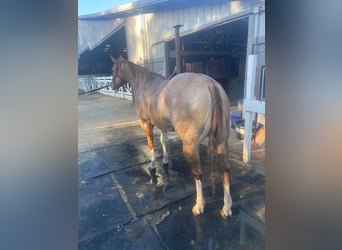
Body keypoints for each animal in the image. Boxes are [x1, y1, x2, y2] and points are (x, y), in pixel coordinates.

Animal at [109, 55, 232, 219]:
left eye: (113, 69)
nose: (113, 86)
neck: (145, 83)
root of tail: (209, 84)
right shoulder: (162, 124)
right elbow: (163, 141)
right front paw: (165, 160)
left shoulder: (146, 123)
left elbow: (150, 144)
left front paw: (152, 164)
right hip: (221, 141)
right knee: (225, 168)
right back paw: (227, 207)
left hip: (190, 146)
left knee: (198, 173)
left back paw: (199, 205)